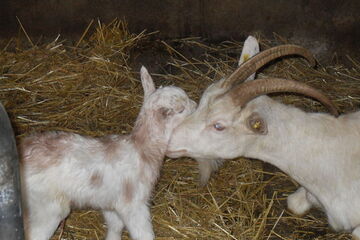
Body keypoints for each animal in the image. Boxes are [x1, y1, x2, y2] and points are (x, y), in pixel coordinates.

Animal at [20, 66, 197, 240]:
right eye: (182, 108)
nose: (195, 105)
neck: (142, 148)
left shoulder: (110, 203)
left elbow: (115, 227)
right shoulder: (133, 204)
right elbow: (143, 233)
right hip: (47, 208)